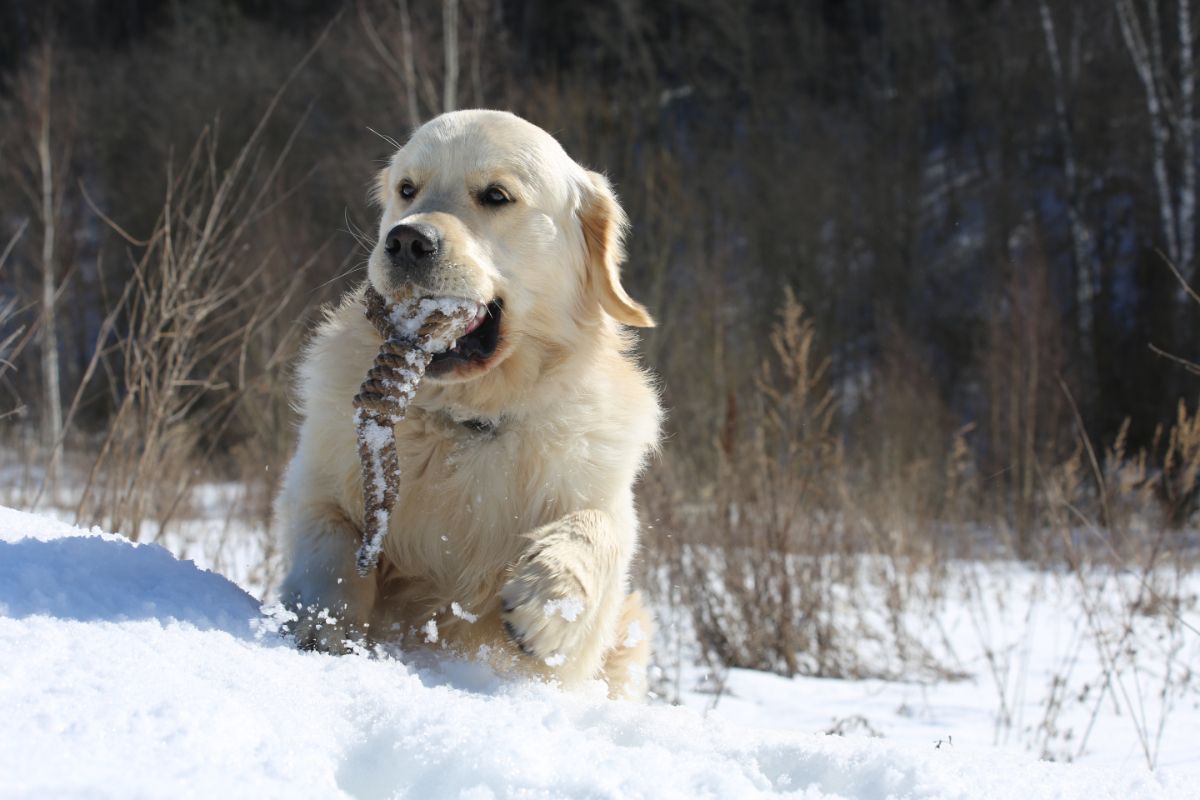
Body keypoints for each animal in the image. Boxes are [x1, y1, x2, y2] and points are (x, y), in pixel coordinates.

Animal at [274, 109, 662, 695]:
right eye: (406, 189)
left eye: (496, 196)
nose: (407, 241)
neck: (469, 418)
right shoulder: (318, 476)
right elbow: (330, 536)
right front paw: (323, 623)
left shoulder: (604, 505)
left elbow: (599, 527)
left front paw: (548, 599)